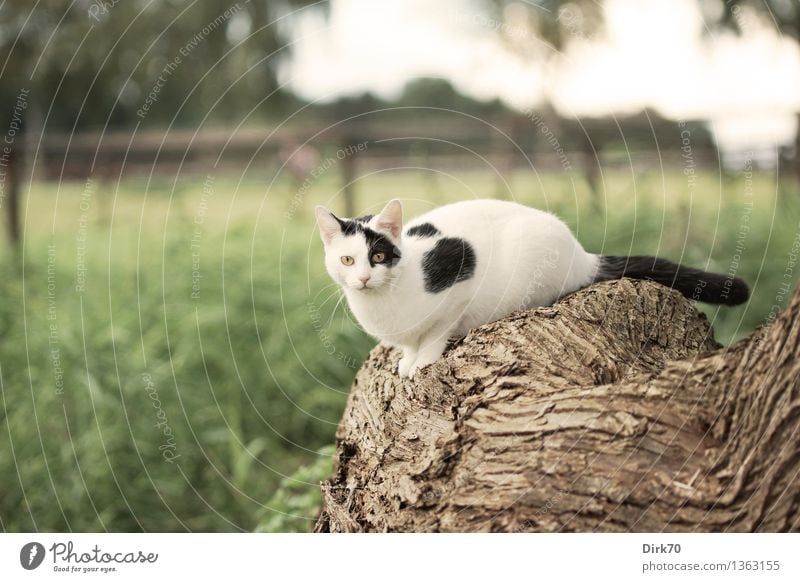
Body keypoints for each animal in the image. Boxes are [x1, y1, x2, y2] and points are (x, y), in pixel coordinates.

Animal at [314, 198, 752, 380]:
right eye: (348, 260)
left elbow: (438, 330)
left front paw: (423, 359)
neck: (383, 303)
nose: (363, 279)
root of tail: (582, 254)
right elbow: (407, 345)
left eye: (378, 257)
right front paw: (407, 358)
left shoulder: (459, 279)